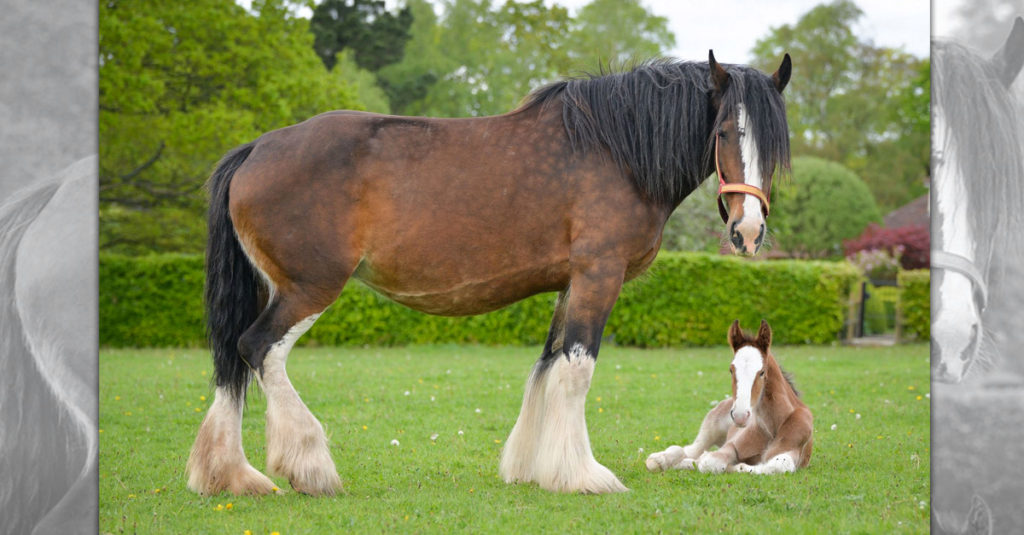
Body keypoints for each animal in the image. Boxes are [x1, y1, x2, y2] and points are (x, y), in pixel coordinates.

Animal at [187, 50, 793, 496]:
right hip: (308, 288)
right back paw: (309, 467)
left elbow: (547, 367)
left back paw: (232, 477)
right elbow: (576, 371)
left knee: (232, 365)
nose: (748, 230)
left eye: (775, 145)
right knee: (257, 349)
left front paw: (533, 467)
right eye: (722, 132)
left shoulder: (569, 284)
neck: (615, 150)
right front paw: (583, 475)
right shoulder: (598, 277)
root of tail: (256, 149)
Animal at [644, 320, 811, 475]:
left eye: (762, 372)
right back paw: (659, 459)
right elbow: (710, 462)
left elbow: (777, 465)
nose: (740, 416)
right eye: (731, 370)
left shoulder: (792, 452)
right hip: (711, 427)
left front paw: (737, 466)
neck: (772, 426)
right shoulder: (732, 445)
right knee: (688, 449)